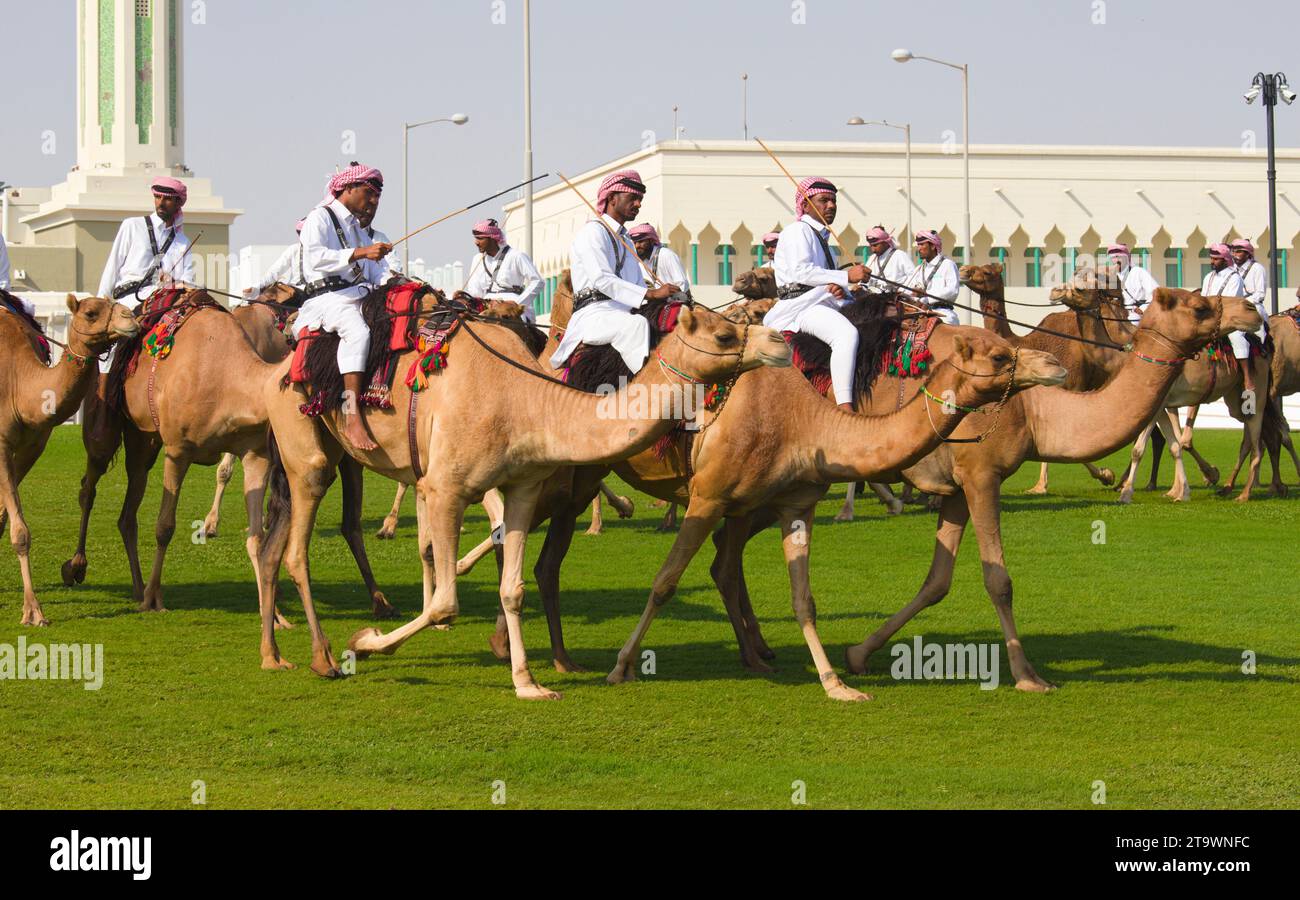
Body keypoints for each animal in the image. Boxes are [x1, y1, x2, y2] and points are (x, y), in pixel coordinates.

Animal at [1, 295, 139, 625]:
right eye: (90, 313)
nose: (131, 318)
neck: (18, 381)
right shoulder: (0, 441)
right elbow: (20, 530)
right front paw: (34, 611)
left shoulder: (33, 444)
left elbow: (6, 520)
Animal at [60, 288, 395, 621]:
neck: (228, 378)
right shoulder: (178, 450)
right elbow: (165, 527)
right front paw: (155, 598)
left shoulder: (255, 454)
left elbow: (257, 536)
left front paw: (274, 614)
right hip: (108, 421)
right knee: (90, 484)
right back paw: (78, 567)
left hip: (144, 437)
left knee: (131, 499)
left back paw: (136, 586)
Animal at [255, 303, 792, 699]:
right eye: (724, 335)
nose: (780, 343)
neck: (526, 403)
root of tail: (283, 362)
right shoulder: (444, 489)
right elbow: (446, 602)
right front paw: (366, 644)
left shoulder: (522, 489)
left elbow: (512, 588)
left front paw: (528, 683)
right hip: (301, 439)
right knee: (297, 549)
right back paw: (323, 657)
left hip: (327, 450)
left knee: (272, 548)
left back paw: (274, 654)